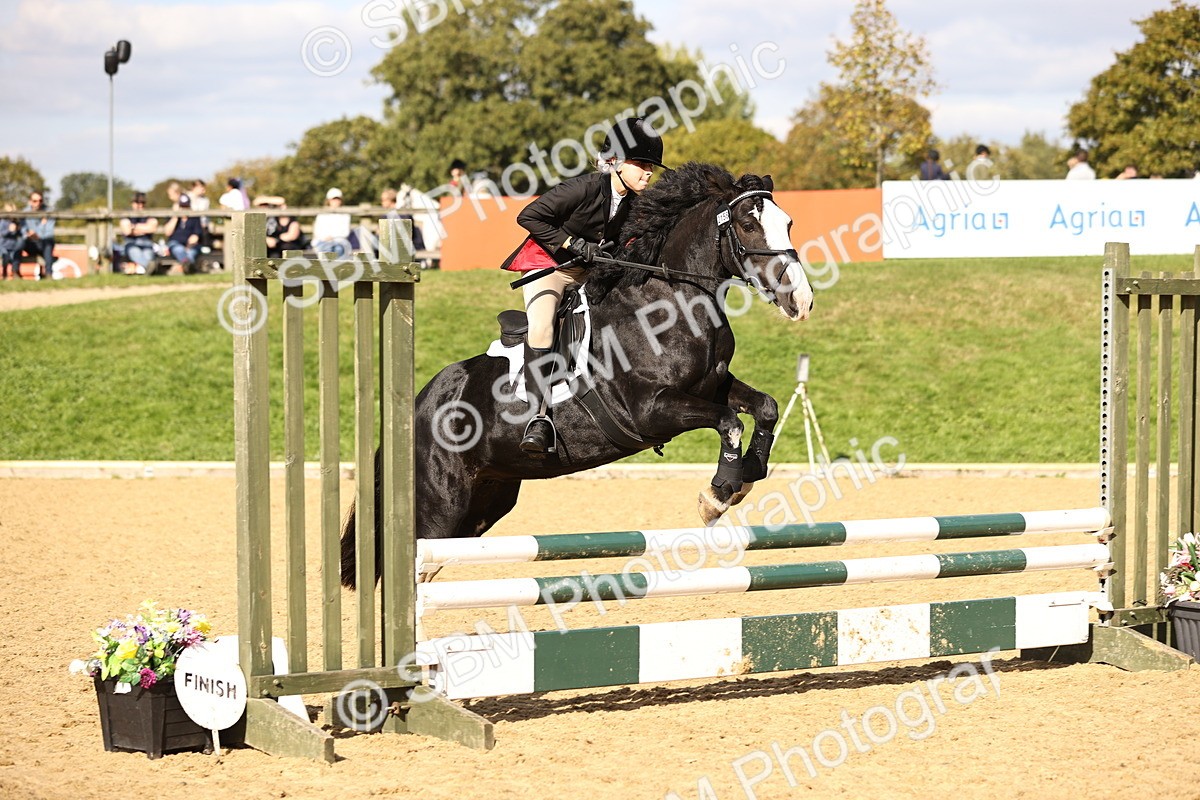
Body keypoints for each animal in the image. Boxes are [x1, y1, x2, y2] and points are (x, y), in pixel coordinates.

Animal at [341, 161, 814, 587]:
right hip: (440, 505)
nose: (801, 300)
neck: (671, 300)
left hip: (486, 500)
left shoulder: (714, 384)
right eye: (748, 225)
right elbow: (728, 421)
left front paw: (749, 474)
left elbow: (765, 407)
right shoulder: (650, 410)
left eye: (789, 223)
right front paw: (717, 494)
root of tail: (418, 405)